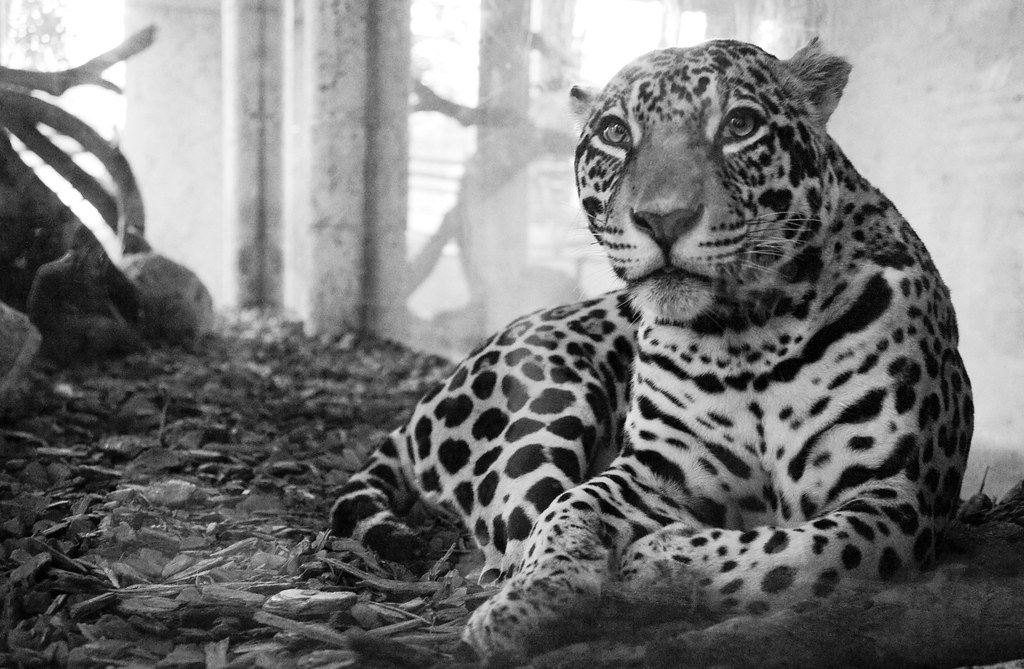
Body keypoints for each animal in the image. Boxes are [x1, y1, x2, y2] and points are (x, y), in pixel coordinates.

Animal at [329, 38, 973, 664]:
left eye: (739, 125)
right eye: (616, 133)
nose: (663, 220)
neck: (750, 337)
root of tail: (425, 398)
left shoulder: (892, 497)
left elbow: (804, 554)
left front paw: (658, 561)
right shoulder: (654, 471)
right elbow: (566, 513)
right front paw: (530, 602)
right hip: (551, 395)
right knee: (511, 531)